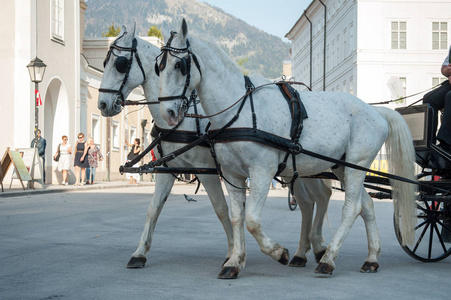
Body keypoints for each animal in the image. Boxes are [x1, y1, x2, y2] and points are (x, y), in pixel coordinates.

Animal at [98, 25, 332, 270]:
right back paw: (308, 250)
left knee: (316, 198)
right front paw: (140, 252)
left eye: (120, 63)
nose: (103, 104)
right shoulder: (168, 169)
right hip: (302, 168)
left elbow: (221, 209)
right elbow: (153, 208)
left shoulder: (206, 170)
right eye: (105, 62)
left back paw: (314, 249)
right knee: (312, 201)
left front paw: (232, 254)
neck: (184, 120)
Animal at [157, 18, 418, 278]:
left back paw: (328, 259)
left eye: (179, 65)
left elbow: (252, 220)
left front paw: (277, 252)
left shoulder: (261, 171)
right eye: (159, 67)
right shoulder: (233, 175)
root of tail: (376, 110)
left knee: (351, 208)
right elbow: (236, 218)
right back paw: (371, 257)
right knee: (367, 206)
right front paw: (234, 261)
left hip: (356, 165)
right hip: (342, 167)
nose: (167, 113)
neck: (240, 110)